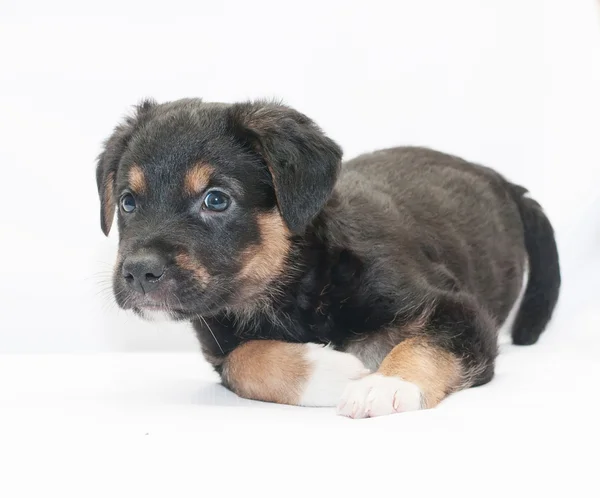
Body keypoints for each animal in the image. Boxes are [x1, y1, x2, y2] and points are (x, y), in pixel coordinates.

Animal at [96, 97, 560, 416]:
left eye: (216, 199)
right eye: (128, 202)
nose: (139, 273)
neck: (296, 283)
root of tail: (501, 179)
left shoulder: (461, 310)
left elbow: (428, 344)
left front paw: (386, 384)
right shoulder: (219, 348)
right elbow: (245, 360)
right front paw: (329, 370)